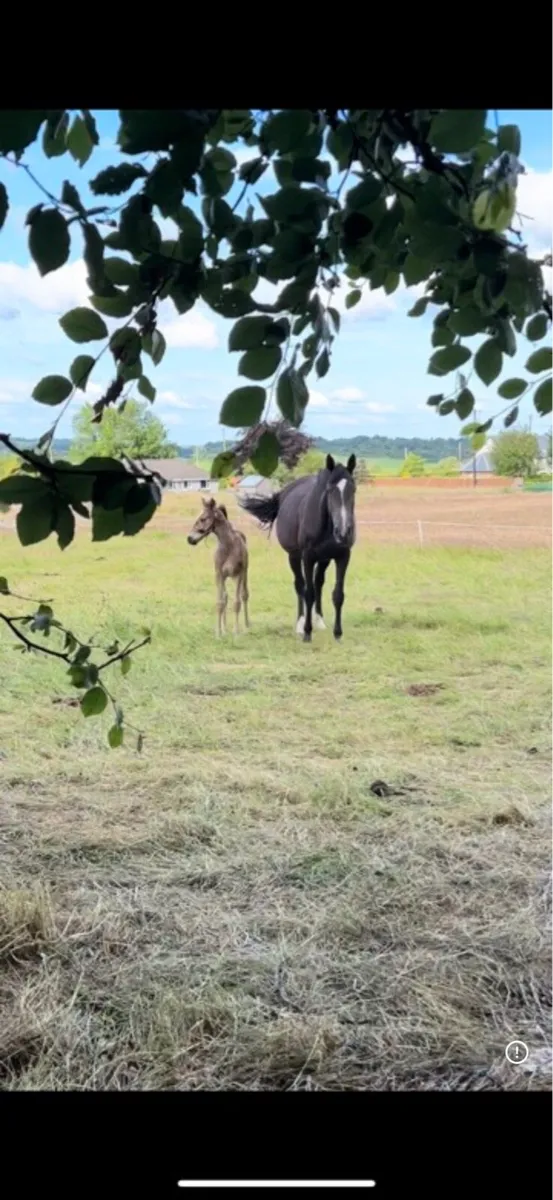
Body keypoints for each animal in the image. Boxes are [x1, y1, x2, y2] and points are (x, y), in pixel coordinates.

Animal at [187, 497, 250, 636]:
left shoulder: (238, 574)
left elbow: (237, 603)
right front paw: (219, 632)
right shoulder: (219, 574)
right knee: (225, 597)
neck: (229, 546)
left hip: (244, 573)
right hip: (226, 577)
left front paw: (236, 632)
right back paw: (225, 628)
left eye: (203, 519)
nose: (189, 539)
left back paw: (247, 625)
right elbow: (220, 602)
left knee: (244, 595)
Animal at [238, 454, 356, 643]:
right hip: (294, 556)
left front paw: (337, 634)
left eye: (353, 490)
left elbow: (338, 594)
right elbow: (308, 593)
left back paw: (319, 621)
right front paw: (307, 632)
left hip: (324, 560)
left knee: (318, 583)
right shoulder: (307, 557)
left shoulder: (342, 556)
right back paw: (300, 624)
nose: (344, 532)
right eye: (330, 490)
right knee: (300, 585)